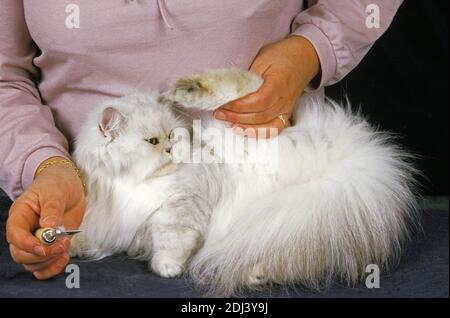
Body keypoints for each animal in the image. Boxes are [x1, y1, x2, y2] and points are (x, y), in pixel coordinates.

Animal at [70, 69, 418, 296]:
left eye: (171, 135)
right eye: (152, 141)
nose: (170, 148)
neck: (132, 182)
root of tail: (350, 150)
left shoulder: (183, 204)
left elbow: (172, 238)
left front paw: (167, 267)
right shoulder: (119, 226)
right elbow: (86, 236)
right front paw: (71, 248)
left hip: (242, 126)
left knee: (245, 85)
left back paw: (186, 88)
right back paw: (257, 274)